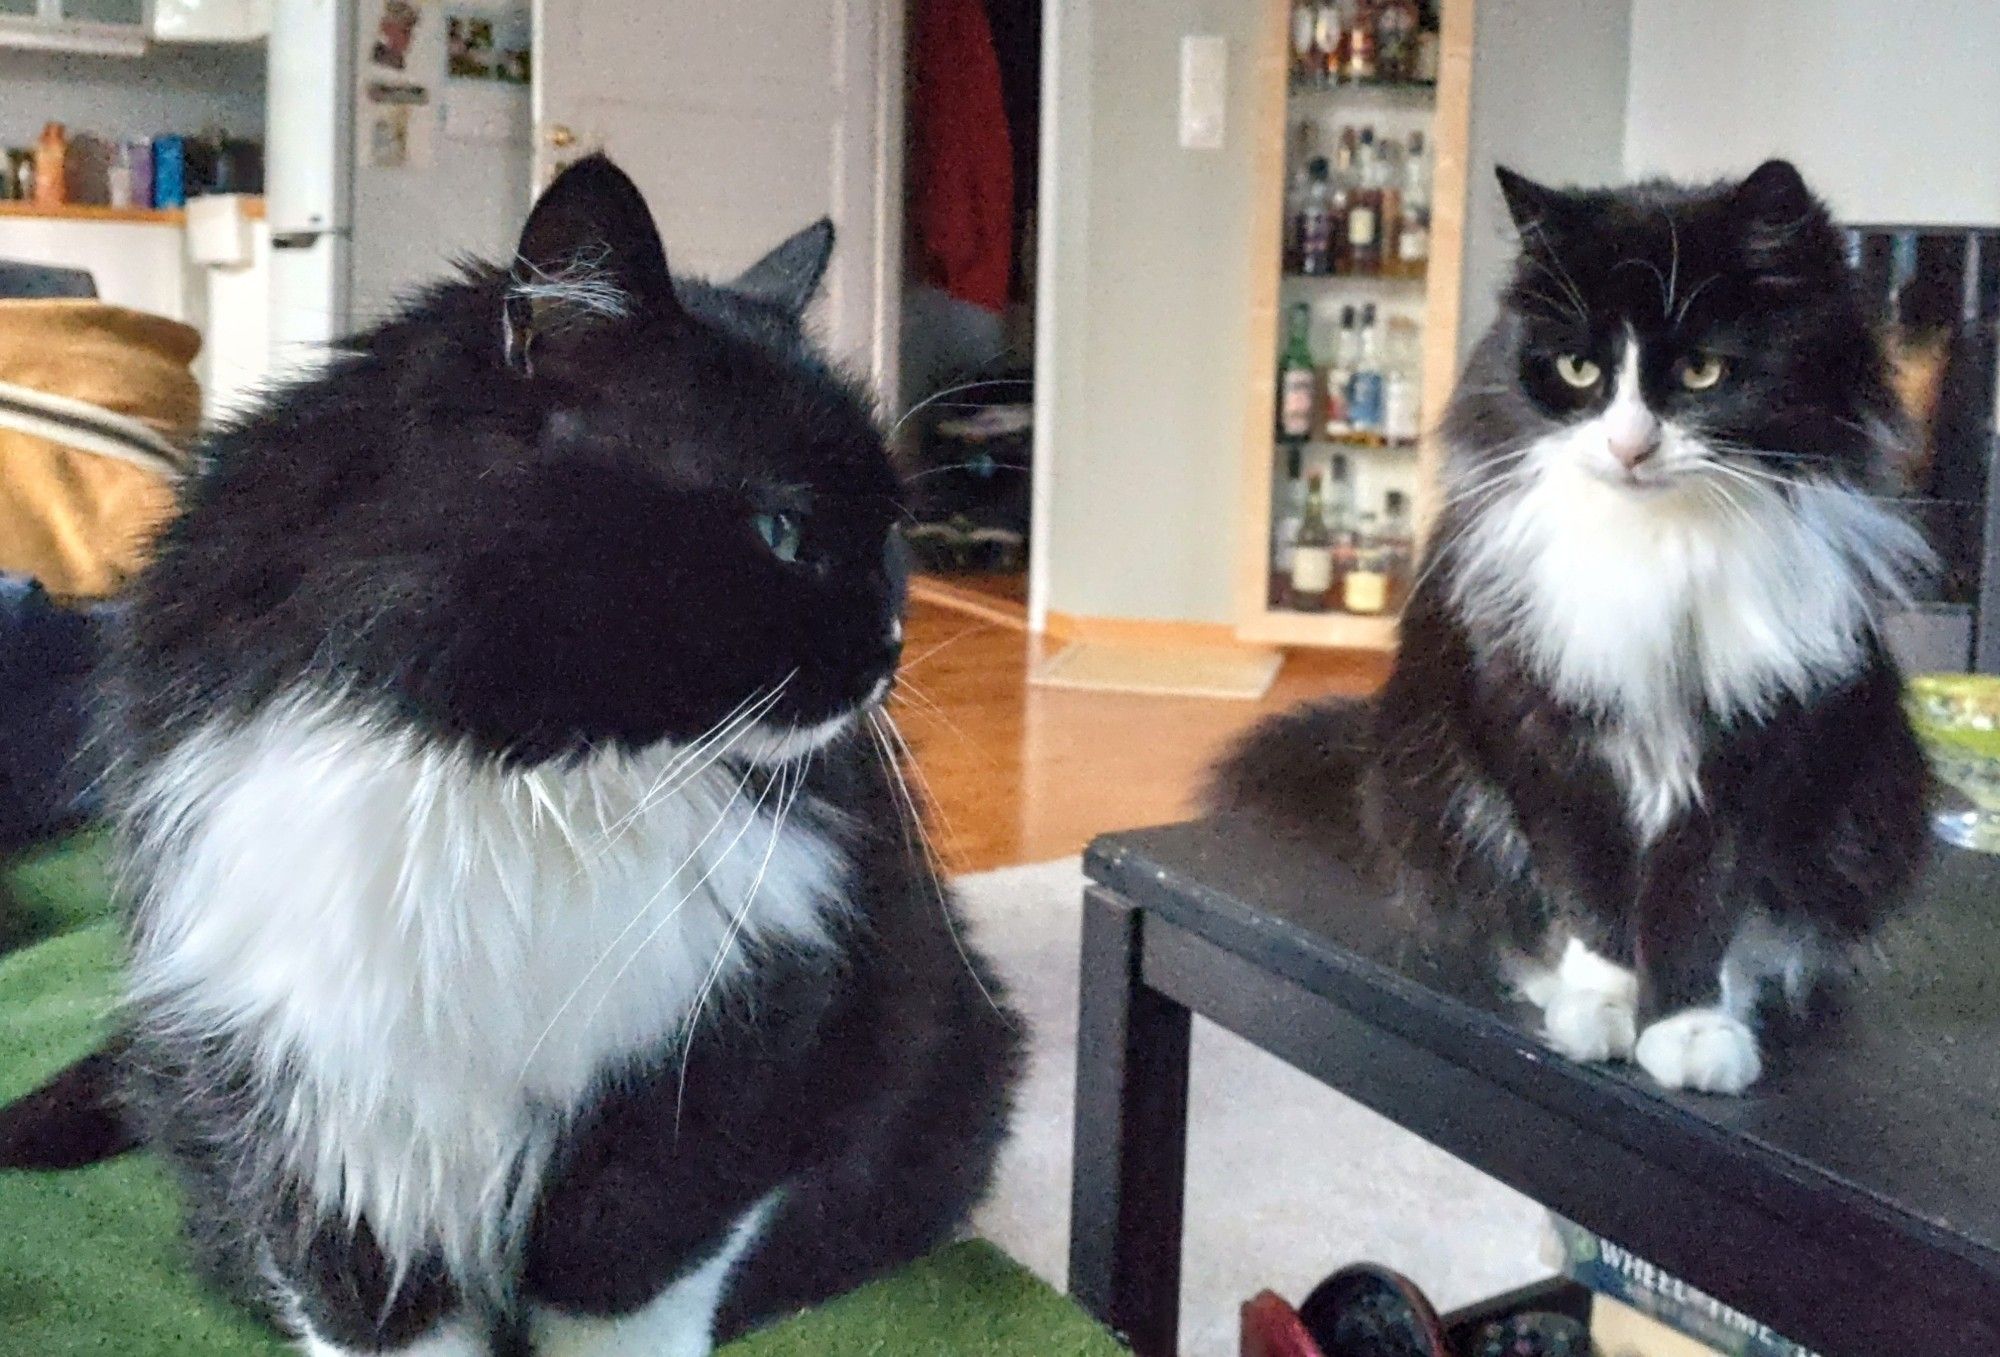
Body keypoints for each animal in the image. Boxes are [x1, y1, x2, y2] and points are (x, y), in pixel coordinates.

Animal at [0, 157, 1024, 1352]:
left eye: (891, 536)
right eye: (781, 531)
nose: (889, 652)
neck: (516, 782)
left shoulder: (714, 1074)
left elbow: (629, 1279)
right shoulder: (314, 1103)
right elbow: (360, 1299)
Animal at [1208, 159, 1928, 1096]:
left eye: (1702, 371)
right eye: (1581, 369)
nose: (1628, 447)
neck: (1659, 544)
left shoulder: (1757, 743)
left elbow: (1705, 896)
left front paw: (1689, 1027)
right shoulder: (1538, 719)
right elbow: (1587, 883)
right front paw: (1602, 1008)